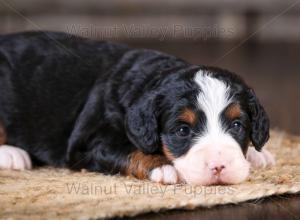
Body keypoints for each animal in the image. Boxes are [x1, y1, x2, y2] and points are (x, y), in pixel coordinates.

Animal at [0, 31, 274, 186]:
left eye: (237, 125)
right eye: (183, 131)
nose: (219, 166)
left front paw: (257, 154)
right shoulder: (89, 142)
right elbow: (130, 151)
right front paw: (162, 166)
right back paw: (12, 155)